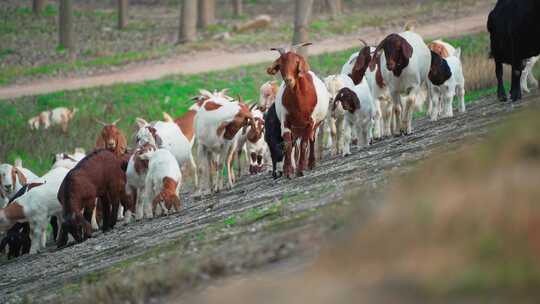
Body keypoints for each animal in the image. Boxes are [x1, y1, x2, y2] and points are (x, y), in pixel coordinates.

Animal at [268, 42, 332, 176]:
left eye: (296, 62)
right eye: (280, 64)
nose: (288, 80)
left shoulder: (310, 122)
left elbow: (304, 144)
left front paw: (301, 169)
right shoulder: (285, 122)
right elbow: (287, 145)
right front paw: (288, 171)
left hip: (315, 125)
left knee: (311, 140)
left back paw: (311, 163)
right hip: (296, 129)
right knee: (294, 145)